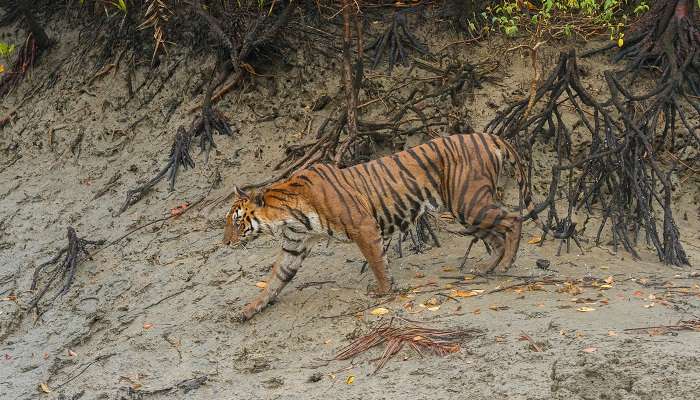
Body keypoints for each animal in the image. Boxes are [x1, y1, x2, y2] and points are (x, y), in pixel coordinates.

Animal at [223, 132, 540, 322]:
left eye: (237, 221)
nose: (225, 243)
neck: (288, 217)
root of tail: (487, 135)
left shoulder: (363, 226)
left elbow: (376, 261)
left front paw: (383, 292)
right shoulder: (294, 246)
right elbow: (274, 281)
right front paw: (249, 310)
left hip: (468, 201)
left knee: (512, 220)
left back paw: (506, 264)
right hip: (468, 209)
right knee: (497, 235)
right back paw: (487, 268)